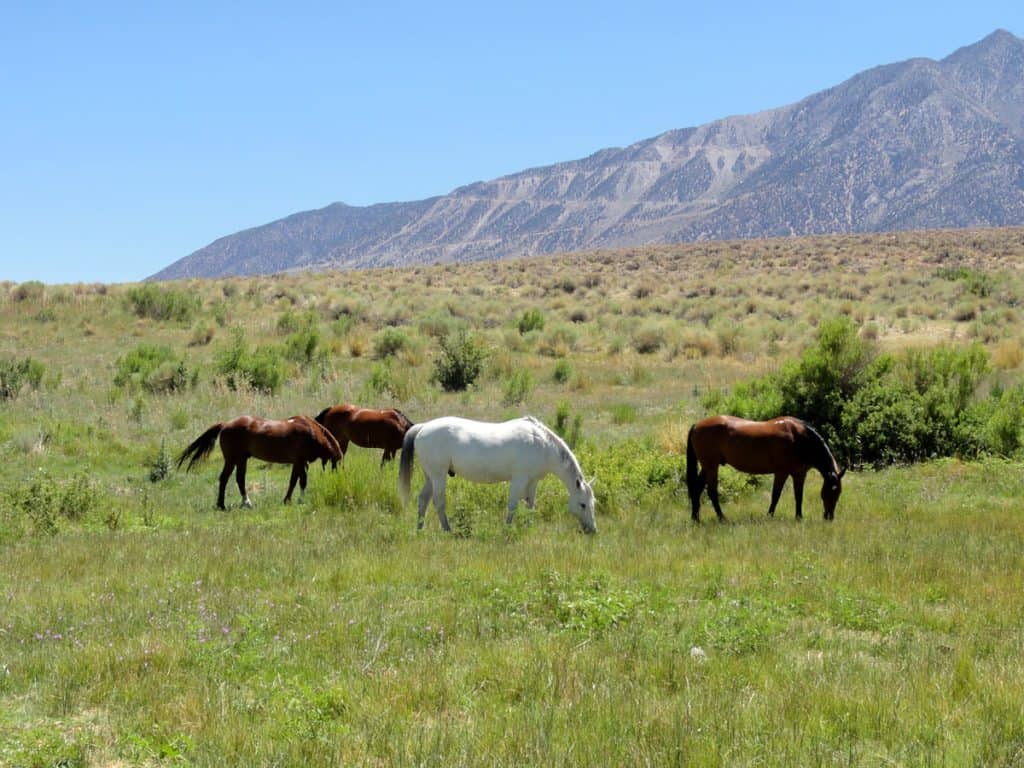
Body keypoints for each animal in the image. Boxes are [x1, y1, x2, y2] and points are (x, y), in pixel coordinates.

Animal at [176, 415, 343, 509]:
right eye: (337, 465)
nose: (337, 479)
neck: (311, 433)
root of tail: (226, 424)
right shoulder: (301, 461)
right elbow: (302, 481)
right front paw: (300, 500)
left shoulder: (297, 463)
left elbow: (293, 481)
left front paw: (287, 500)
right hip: (232, 459)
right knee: (225, 478)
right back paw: (223, 505)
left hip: (241, 459)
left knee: (239, 479)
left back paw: (245, 503)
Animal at [398, 415, 596, 534]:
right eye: (583, 504)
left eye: (592, 503)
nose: (592, 530)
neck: (542, 444)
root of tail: (423, 427)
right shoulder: (519, 479)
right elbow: (513, 505)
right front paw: (507, 529)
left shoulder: (532, 482)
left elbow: (530, 505)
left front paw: (528, 527)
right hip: (438, 476)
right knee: (438, 502)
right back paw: (448, 530)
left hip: (430, 477)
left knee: (423, 499)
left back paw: (420, 529)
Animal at [686, 415, 845, 522]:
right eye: (832, 491)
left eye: (838, 493)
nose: (829, 517)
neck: (799, 437)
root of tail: (697, 425)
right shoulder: (781, 473)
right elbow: (776, 495)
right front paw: (769, 516)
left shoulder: (799, 474)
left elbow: (798, 496)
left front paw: (799, 517)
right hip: (711, 466)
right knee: (712, 492)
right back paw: (721, 518)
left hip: (707, 467)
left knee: (697, 489)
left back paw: (696, 518)